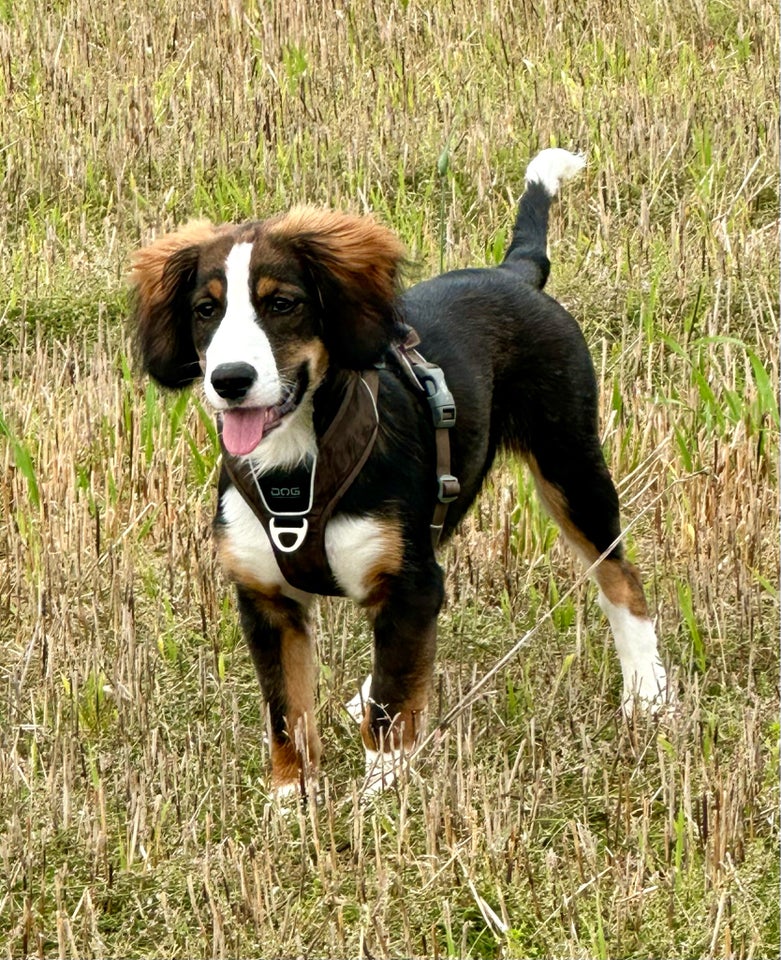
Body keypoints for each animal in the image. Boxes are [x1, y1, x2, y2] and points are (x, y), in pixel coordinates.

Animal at [129, 148, 672, 796]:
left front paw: (380, 796)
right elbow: (288, 714)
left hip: (571, 466)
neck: (298, 465)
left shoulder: (412, 583)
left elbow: (391, 707)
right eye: (205, 310)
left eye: (282, 303)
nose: (230, 380)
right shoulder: (267, 599)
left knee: (619, 577)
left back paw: (647, 693)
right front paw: (291, 800)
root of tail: (513, 273)